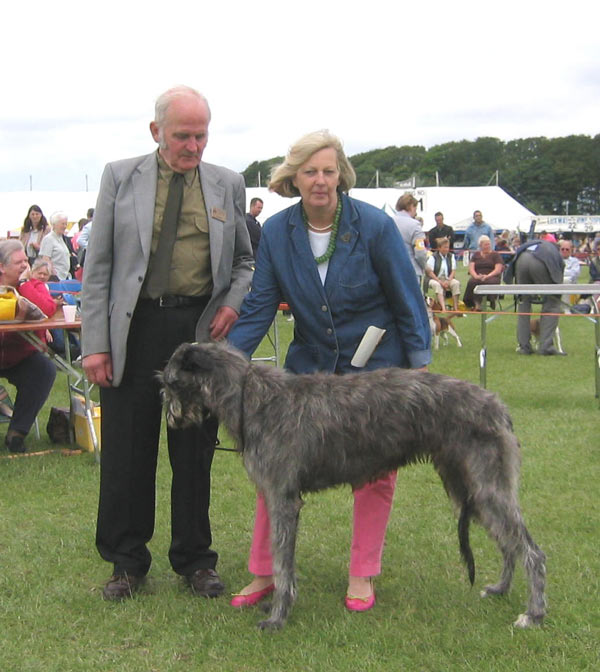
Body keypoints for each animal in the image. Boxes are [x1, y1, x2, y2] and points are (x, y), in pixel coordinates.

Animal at [162, 342, 548, 632]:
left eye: (169, 382)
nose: (169, 417)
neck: (251, 397)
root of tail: (498, 406)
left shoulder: (283, 499)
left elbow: (283, 564)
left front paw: (278, 616)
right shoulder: (275, 495)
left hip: (487, 486)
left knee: (532, 551)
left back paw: (534, 613)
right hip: (468, 488)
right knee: (509, 544)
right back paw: (500, 588)